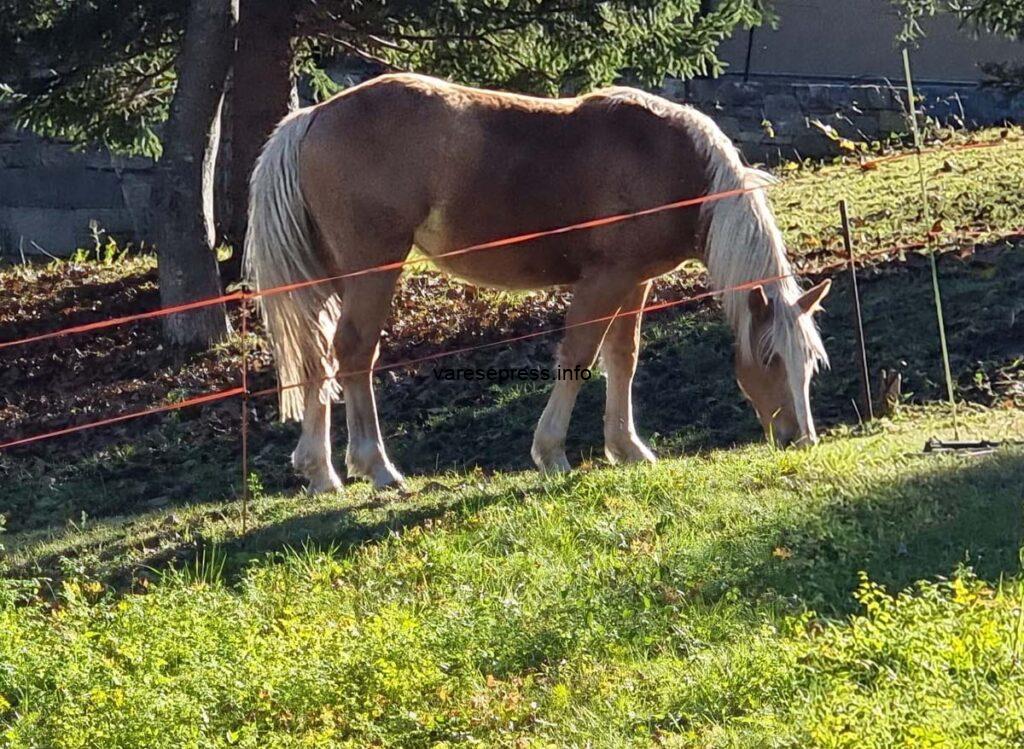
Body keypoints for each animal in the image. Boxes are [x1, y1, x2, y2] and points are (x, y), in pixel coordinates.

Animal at [243, 73, 827, 495]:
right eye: (770, 358)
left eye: (810, 364)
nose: (801, 439)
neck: (673, 165)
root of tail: (312, 116)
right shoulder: (604, 282)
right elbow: (579, 358)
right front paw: (553, 455)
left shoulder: (634, 283)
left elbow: (624, 359)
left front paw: (628, 449)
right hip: (373, 271)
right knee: (355, 353)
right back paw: (378, 467)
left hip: (331, 277)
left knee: (316, 358)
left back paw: (321, 473)